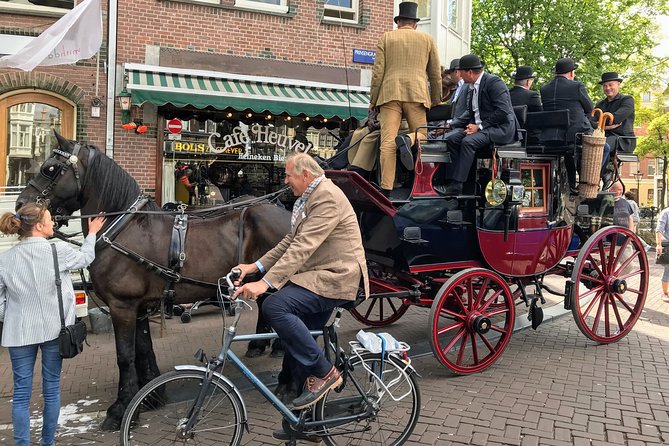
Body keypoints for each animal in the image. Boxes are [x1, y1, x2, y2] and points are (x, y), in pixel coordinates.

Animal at [15, 133, 290, 432]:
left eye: (50, 168)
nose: (20, 205)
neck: (122, 228)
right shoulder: (138, 307)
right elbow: (143, 350)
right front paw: (151, 397)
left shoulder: (122, 305)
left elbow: (125, 356)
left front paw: (120, 410)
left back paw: (289, 384)